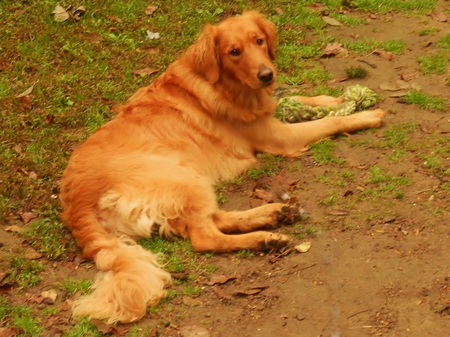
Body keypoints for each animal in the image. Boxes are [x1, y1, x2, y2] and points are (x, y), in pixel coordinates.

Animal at [58, 11, 384, 322]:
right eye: (234, 52)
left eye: (259, 41)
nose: (267, 75)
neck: (223, 83)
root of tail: (77, 205)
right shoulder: (278, 136)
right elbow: (329, 123)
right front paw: (365, 116)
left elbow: (299, 98)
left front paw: (338, 99)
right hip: (183, 176)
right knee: (205, 237)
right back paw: (264, 239)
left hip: (187, 184)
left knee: (215, 219)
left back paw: (273, 214)